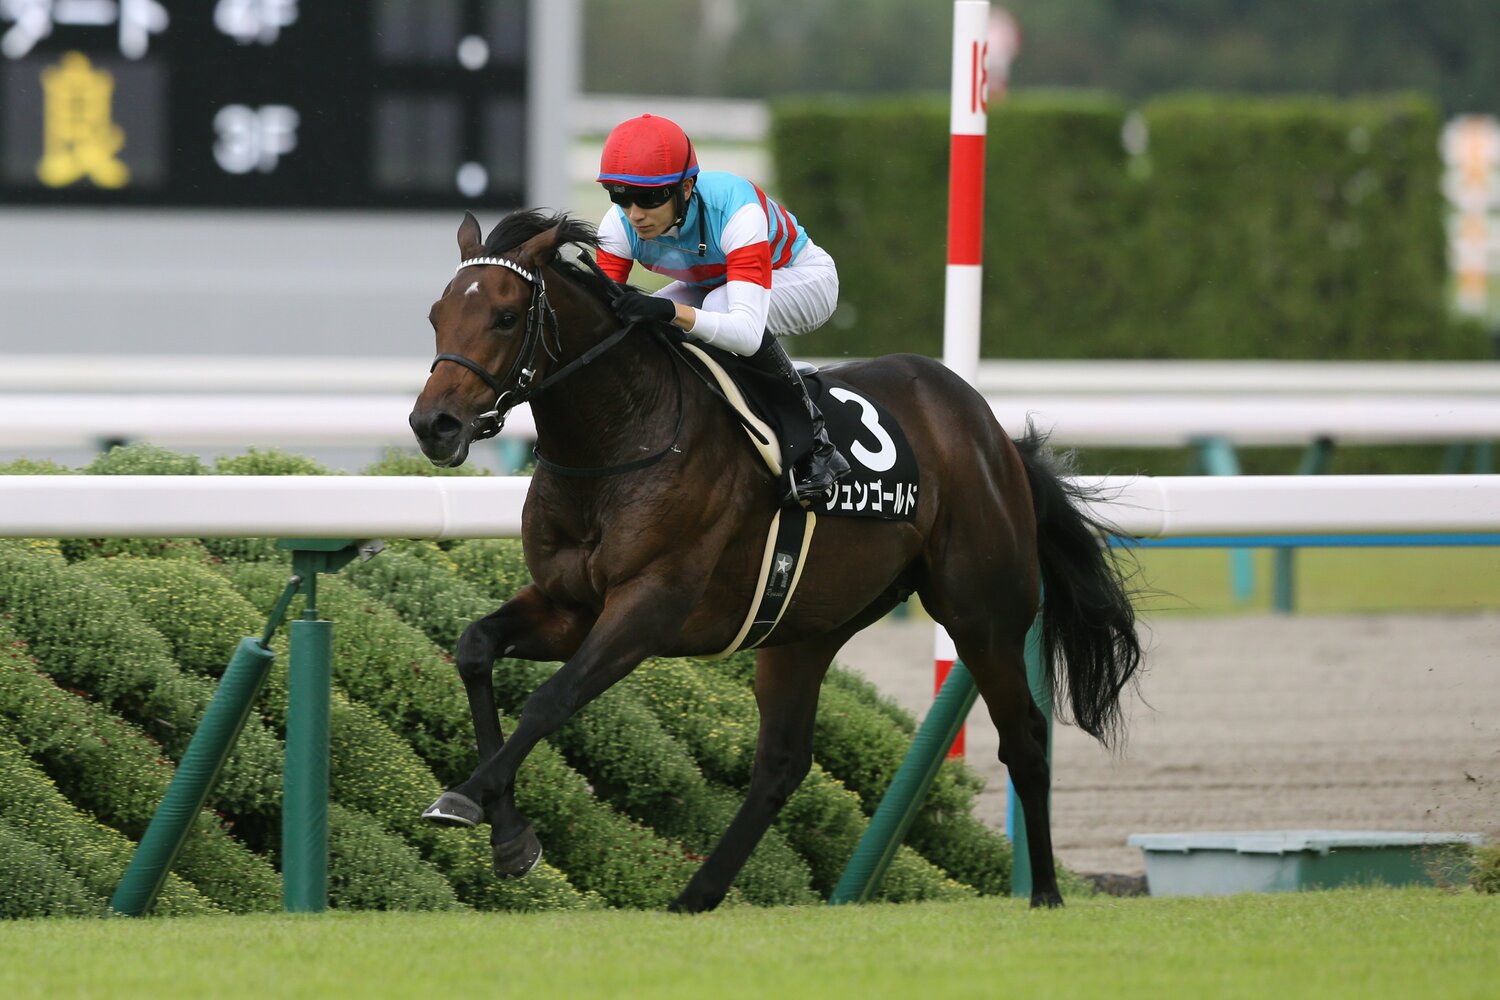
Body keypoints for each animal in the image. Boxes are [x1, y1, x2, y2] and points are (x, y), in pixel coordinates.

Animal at [408, 209, 1142, 911]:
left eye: (505, 316)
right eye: (437, 314)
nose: (433, 425)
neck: (622, 439)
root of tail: (993, 433)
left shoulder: (649, 606)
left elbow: (550, 700)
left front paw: (467, 799)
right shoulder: (568, 605)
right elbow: (474, 650)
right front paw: (507, 835)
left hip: (981, 614)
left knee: (1024, 737)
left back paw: (1045, 892)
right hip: (806, 629)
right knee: (782, 764)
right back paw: (696, 895)